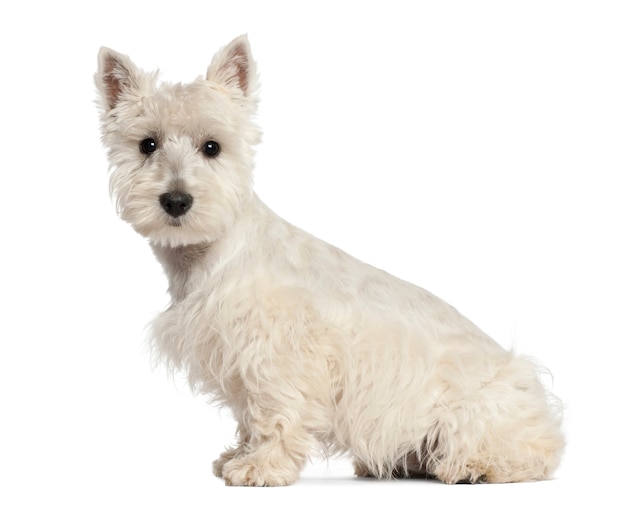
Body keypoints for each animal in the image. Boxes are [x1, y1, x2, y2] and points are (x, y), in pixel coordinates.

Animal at [95, 33, 564, 486]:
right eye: (147, 144)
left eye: (212, 147)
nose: (176, 201)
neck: (209, 254)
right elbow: (249, 414)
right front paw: (240, 455)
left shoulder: (281, 354)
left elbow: (276, 411)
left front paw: (261, 467)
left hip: (478, 412)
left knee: (530, 453)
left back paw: (473, 466)